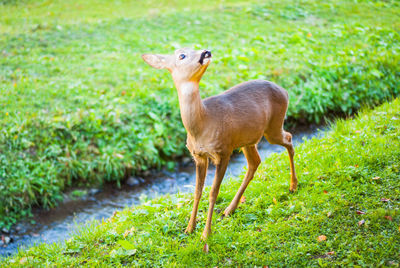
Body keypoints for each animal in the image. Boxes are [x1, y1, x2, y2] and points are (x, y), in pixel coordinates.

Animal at [141, 48, 296, 241]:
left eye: (195, 48)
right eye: (181, 55)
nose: (206, 51)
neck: (203, 124)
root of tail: (285, 91)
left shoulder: (223, 152)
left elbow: (213, 192)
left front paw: (206, 234)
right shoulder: (198, 156)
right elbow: (197, 191)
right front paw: (189, 228)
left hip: (272, 127)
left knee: (288, 138)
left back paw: (293, 186)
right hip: (248, 138)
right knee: (255, 162)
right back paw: (230, 209)